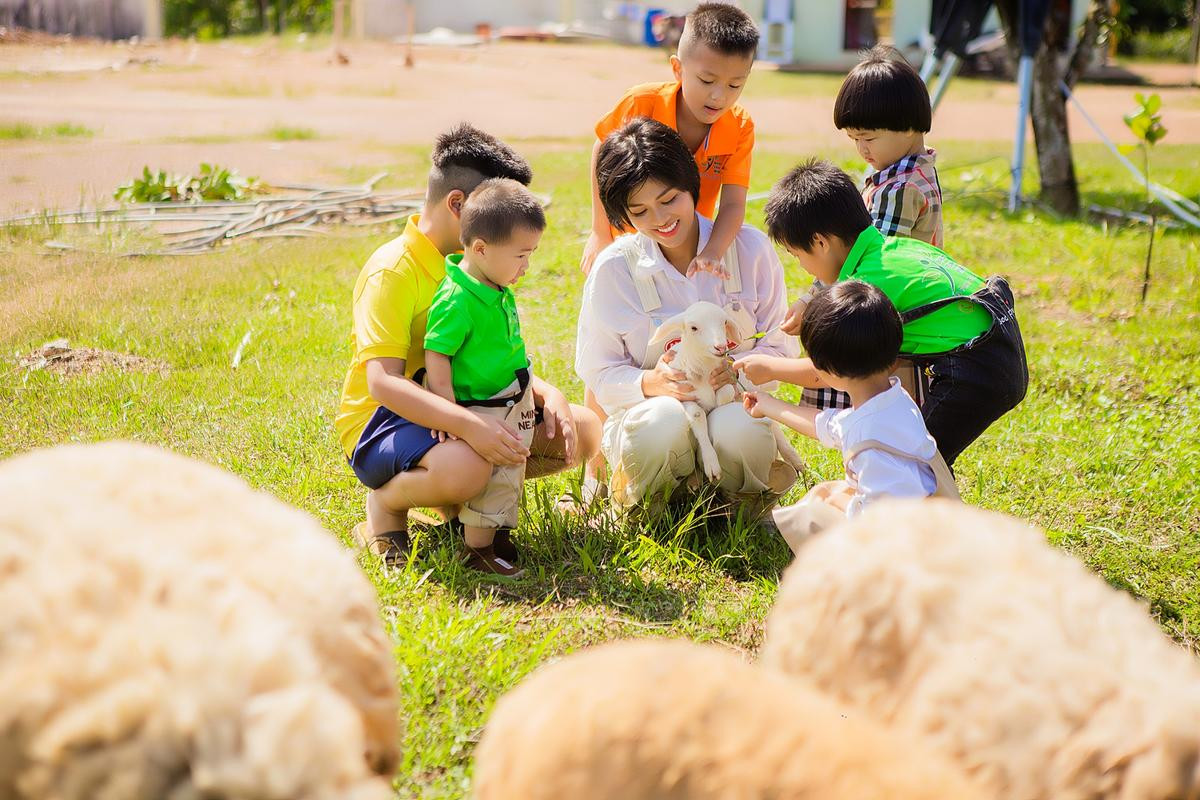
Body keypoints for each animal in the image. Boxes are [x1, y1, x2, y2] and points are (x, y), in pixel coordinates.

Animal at [648, 302, 806, 482]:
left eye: (724, 323)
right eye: (693, 328)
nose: (721, 347)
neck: (704, 368)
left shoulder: (729, 384)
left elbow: (727, 391)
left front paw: (718, 402)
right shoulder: (684, 394)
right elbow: (697, 415)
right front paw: (711, 463)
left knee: (773, 424)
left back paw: (795, 461)